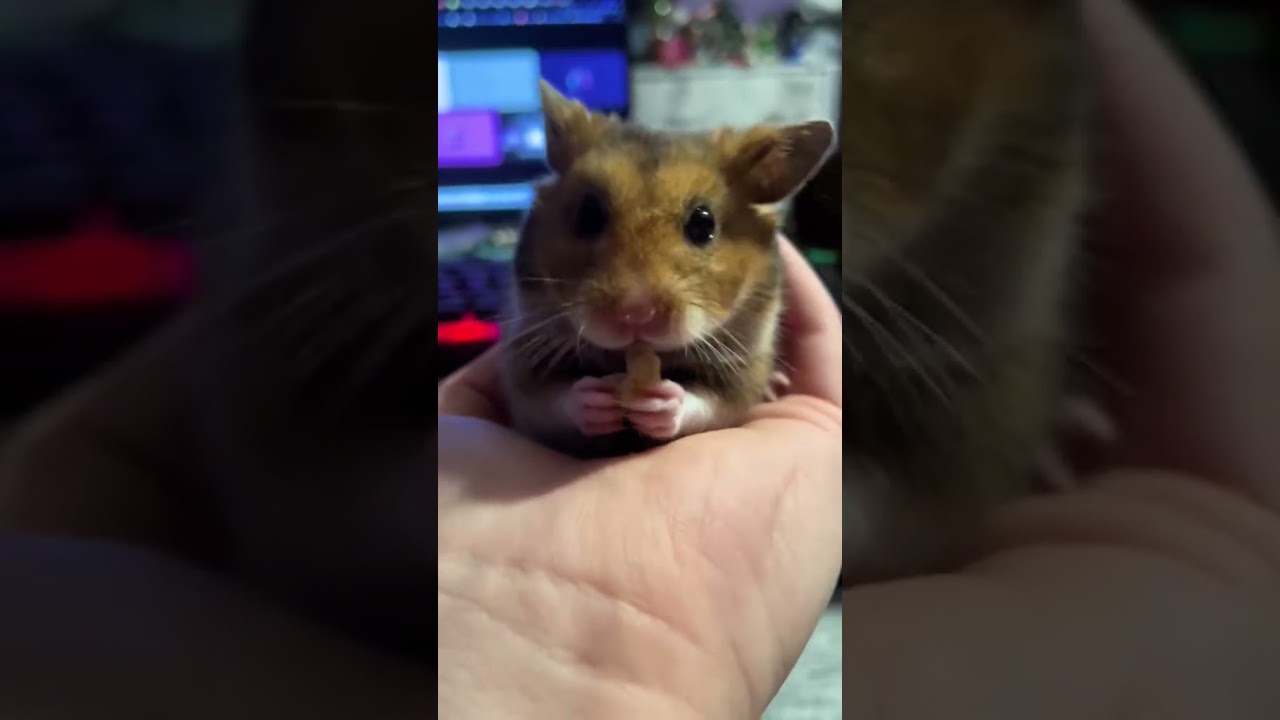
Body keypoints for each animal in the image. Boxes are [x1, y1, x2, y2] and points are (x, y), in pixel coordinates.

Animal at [499, 81, 835, 459]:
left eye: (703, 224)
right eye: (588, 214)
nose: (635, 315)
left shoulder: (743, 371)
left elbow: (710, 404)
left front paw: (660, 402)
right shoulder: (523, 363)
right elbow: (552, 401)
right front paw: (595, 399)